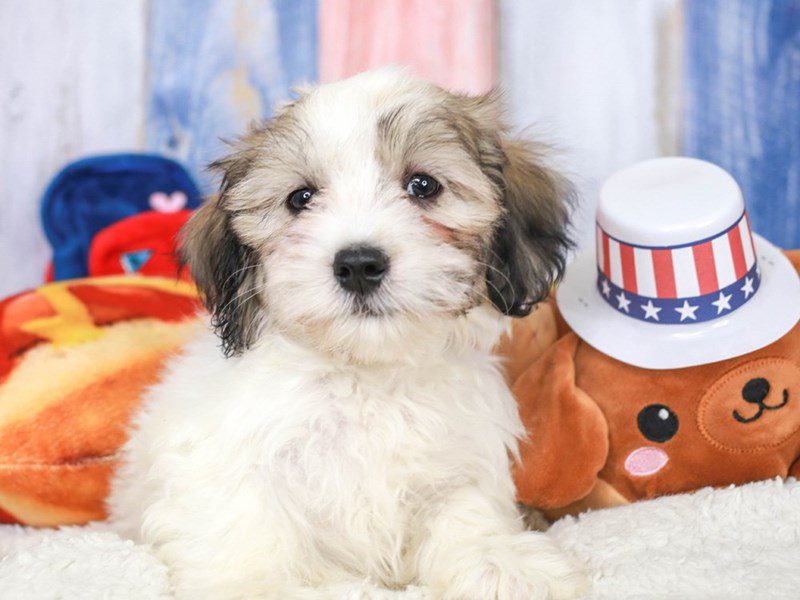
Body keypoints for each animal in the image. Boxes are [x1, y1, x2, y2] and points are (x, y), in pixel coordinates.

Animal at [108, 68, 588, 596]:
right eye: (301, 199)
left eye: (424, 186)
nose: (359, 264)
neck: (365, 376)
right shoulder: (228, 468)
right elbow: (248, 529)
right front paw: (263, 584)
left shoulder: (459, 462)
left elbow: (465, 511)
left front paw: (501, 562)